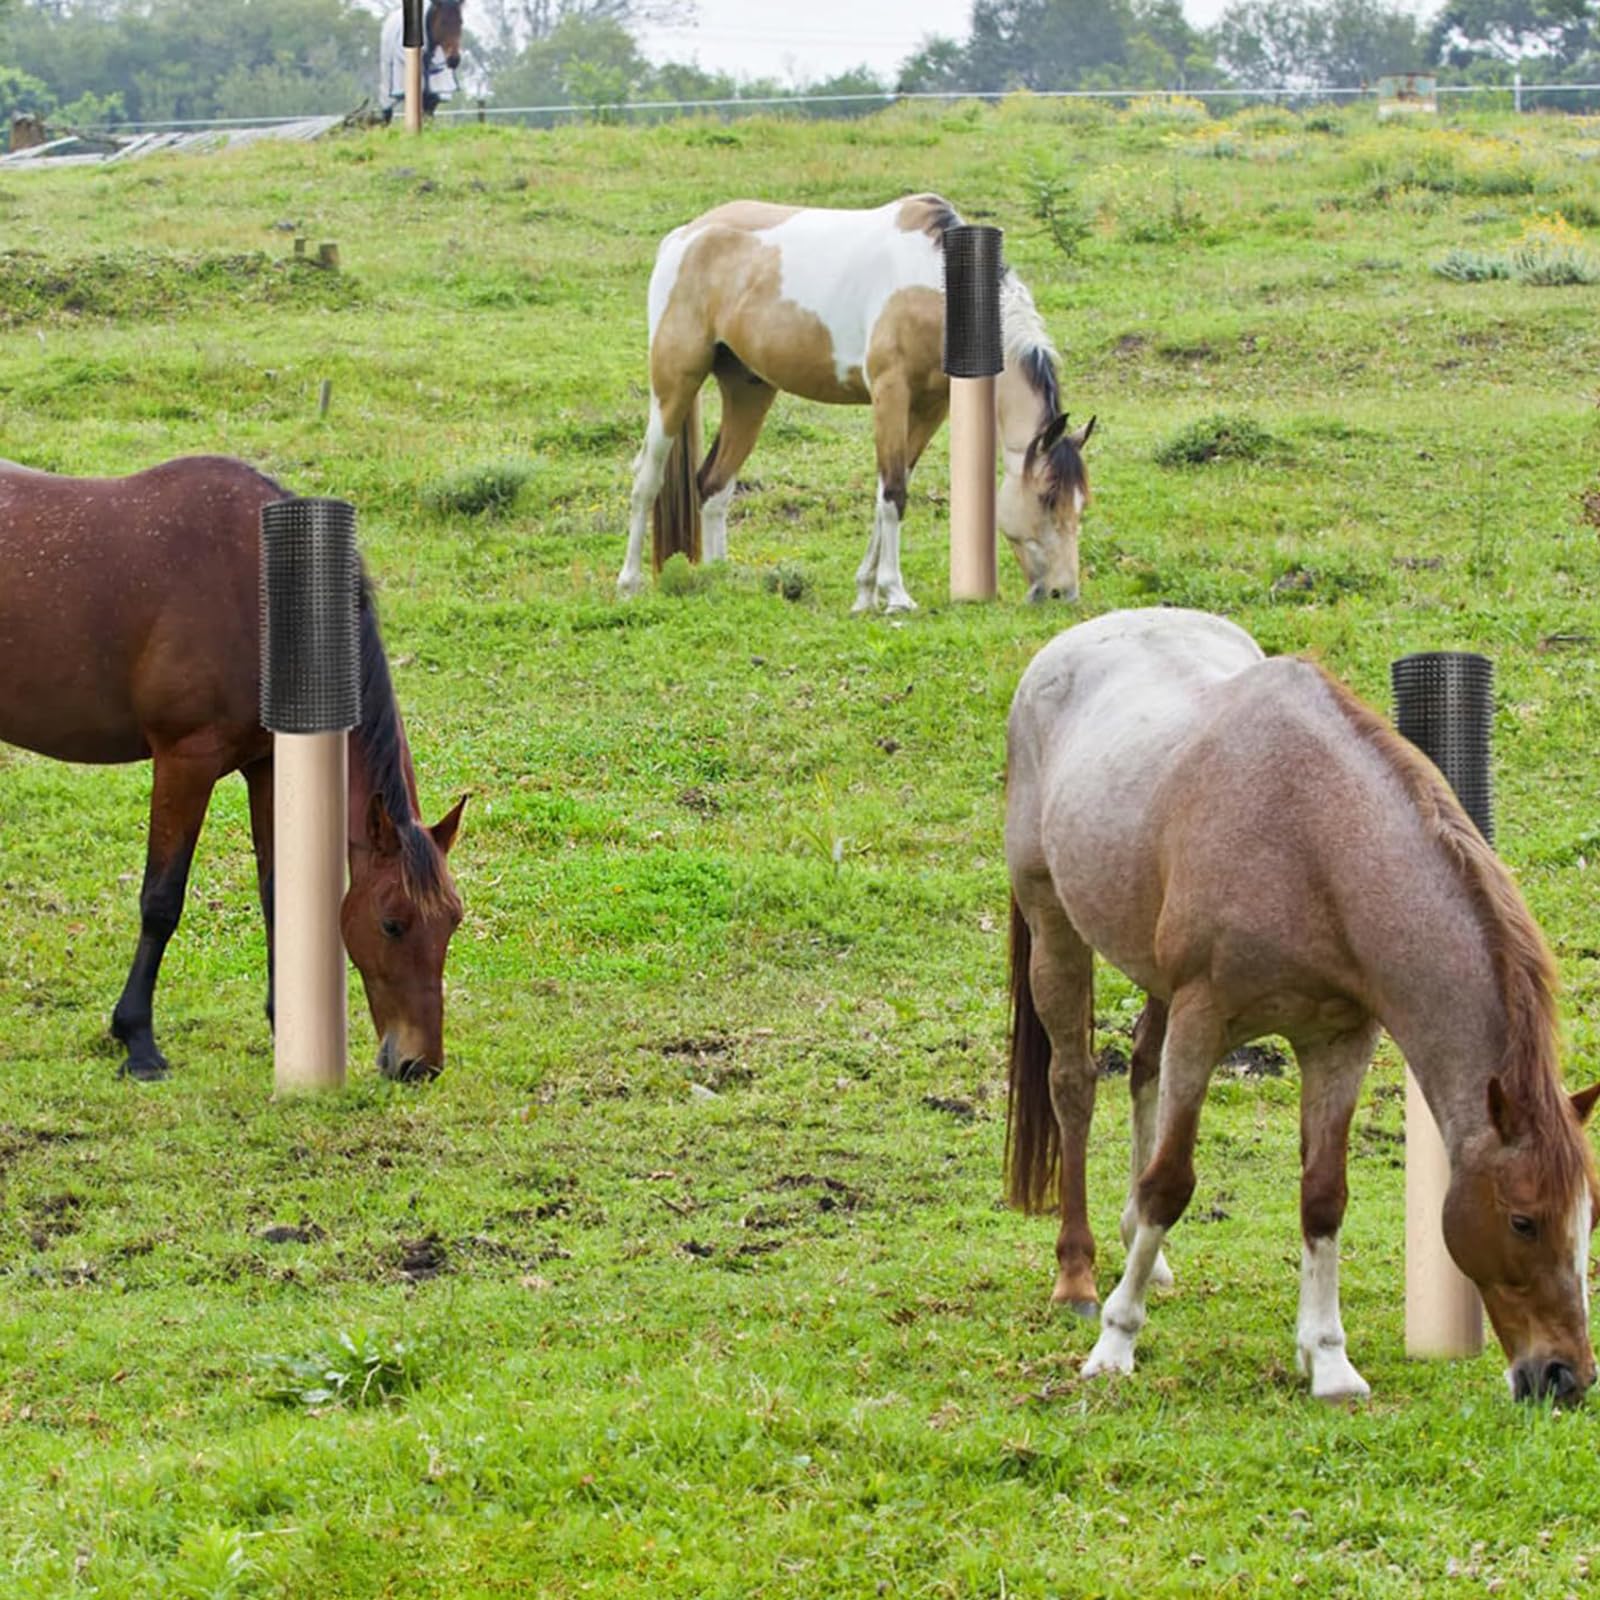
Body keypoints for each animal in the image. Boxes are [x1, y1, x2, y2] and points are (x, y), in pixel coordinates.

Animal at [0, 455, 466, 1083]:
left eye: (453, 921)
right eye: (392, 923)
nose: (420, 1065)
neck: (261, 597)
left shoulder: (268, 764)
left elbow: (278, 894)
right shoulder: (185, 761)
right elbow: (161, 900)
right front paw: (137, 1039)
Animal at [617, 194, 1095, 613]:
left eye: (1080, 502)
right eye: (1047, 498)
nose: (1064, 593)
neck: (935, 286)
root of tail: (684, 236)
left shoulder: (931, 407)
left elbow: (889, 489)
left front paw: (866, 592)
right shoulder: (890, 393)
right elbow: (894, 493)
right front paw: (895, 594)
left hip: (749, 391)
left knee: (714, 484)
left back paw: (719, 579)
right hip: (674, 383)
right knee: (647, 478)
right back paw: (629, 582)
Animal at [1005, 608, 1600, 1403]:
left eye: (1588, 1217)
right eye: (1524, 1220)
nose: (1566, 1377)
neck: (1312, 845)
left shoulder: (1340, 1039)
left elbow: (1324, 1195)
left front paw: (1328, 1359)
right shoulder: (1205, 1019)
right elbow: (1171, 1182)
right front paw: (1115, 1342)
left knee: (1140, 1067)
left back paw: (1145, 1258)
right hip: (1054, 926)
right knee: (1074, 1084)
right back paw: (1077, 1276)